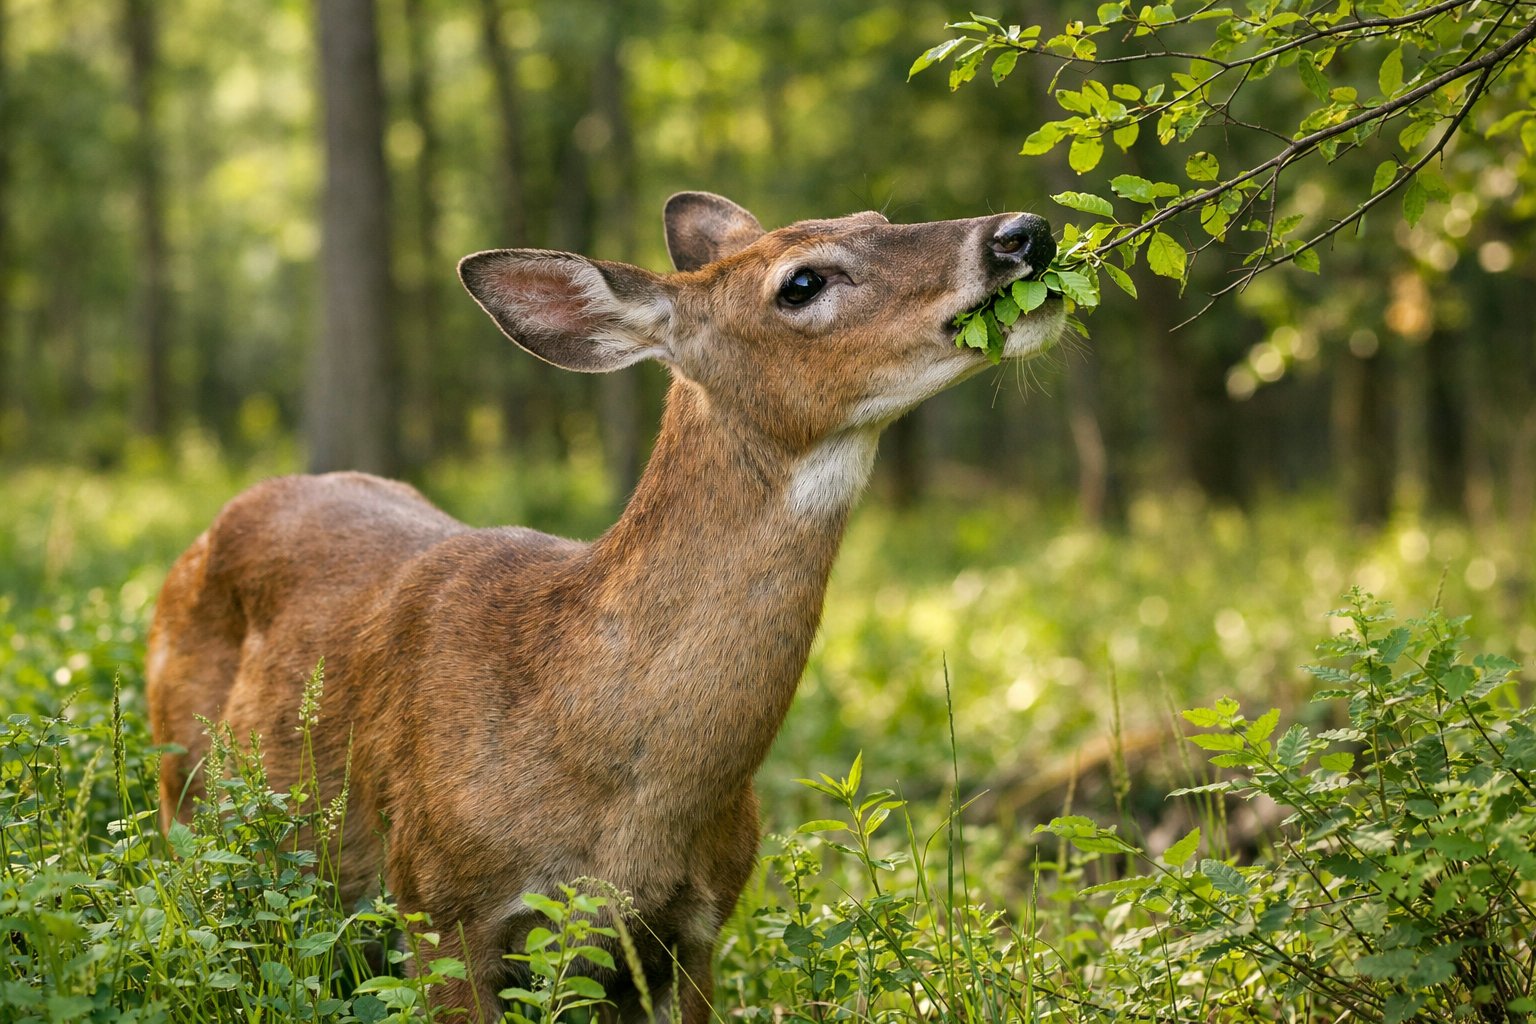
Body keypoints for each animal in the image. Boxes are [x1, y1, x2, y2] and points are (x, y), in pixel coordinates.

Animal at [146, 191, 1063, 1021]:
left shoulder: (697, 929)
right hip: (182, 800)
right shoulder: (437, 909)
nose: (1023, 233)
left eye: (876, 217)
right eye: (801, 282)